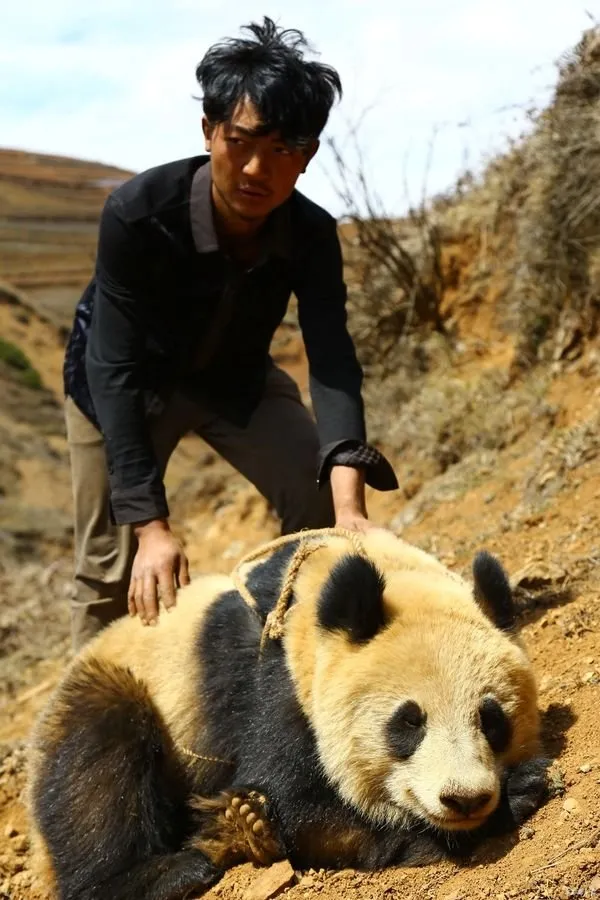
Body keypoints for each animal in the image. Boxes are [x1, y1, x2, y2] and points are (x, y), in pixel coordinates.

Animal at [27, 528, 548, 900]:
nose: (464, 799)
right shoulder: (274, 682)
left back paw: (239, 828)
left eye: (492, 721)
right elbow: (300, 806)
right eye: (408, 722)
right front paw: (513, 797)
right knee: (95, 773)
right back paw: (173, 869)